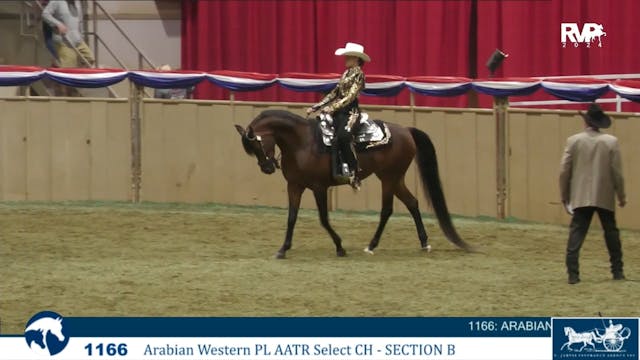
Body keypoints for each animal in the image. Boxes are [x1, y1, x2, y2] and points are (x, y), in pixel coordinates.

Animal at [235, 108, 470, 258]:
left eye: (257, 144)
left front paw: (340, 247)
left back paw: (371, 246)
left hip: (389, 178)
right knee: (412, 203)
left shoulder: (319, 187)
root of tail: (406, 130)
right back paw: (424, 243)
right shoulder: (294, 186)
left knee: (387, 210)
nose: (267, 168)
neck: (302, 143)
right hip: (395, 178)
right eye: (251, 148)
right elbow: (291, 217)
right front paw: (283, 249)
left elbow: (323, 219)